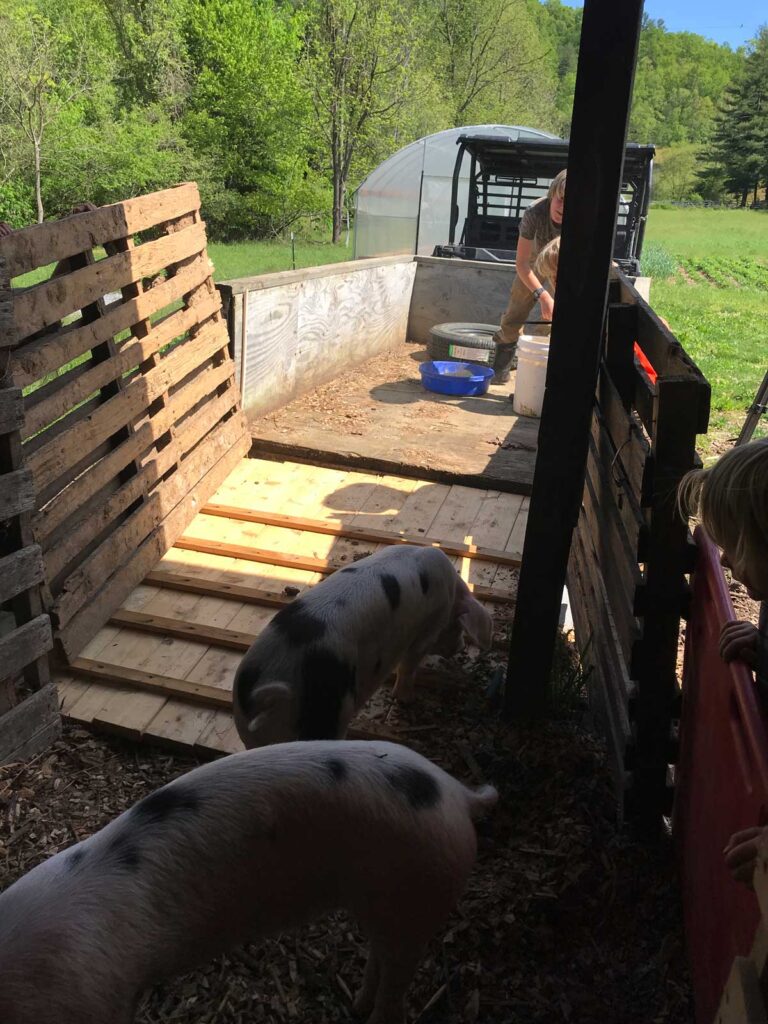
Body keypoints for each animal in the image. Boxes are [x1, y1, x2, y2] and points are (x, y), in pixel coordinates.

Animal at [0, 741, 499, 1019]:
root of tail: (458, 794)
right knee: (380, 954)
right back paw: (355, 1006)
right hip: (387, 903)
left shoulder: (94, 1003)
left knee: (395, 994)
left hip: (418, 892)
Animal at [231, 544, 493, 745]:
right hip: (330, 712)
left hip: (249, 731)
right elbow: (409, 665)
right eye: (459, 625)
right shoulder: (426, 630)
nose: (460, 647)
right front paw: (408, 699)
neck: (451, 592)